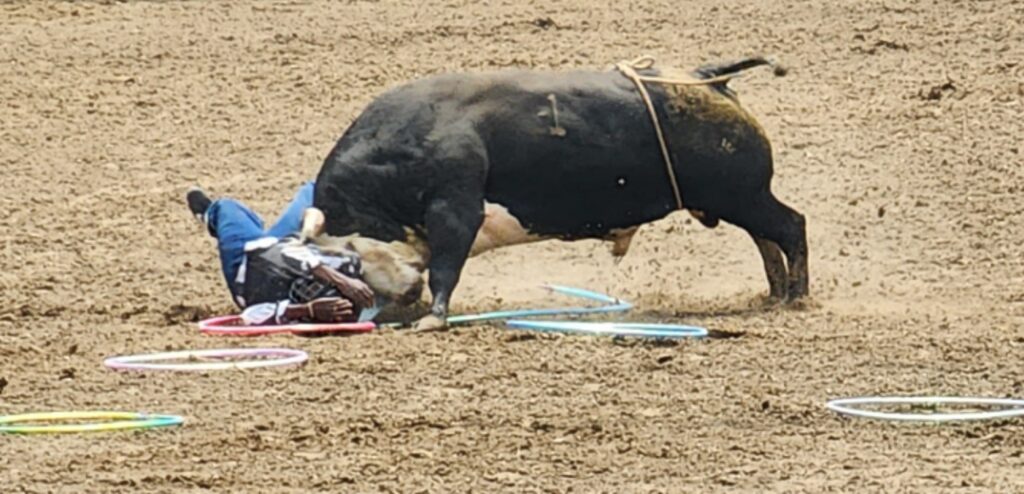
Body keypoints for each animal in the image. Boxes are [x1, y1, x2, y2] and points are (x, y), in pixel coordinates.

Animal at [302, 56, 808, 331]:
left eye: (351, 256)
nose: (401, 297)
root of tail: (708, 77)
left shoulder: (456, 207)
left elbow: (446, 266)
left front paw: (435, 316)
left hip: (744, 194)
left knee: (790, 226)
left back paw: (797, 296)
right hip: (736, 199)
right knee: (767, 239)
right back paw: (774, 293)